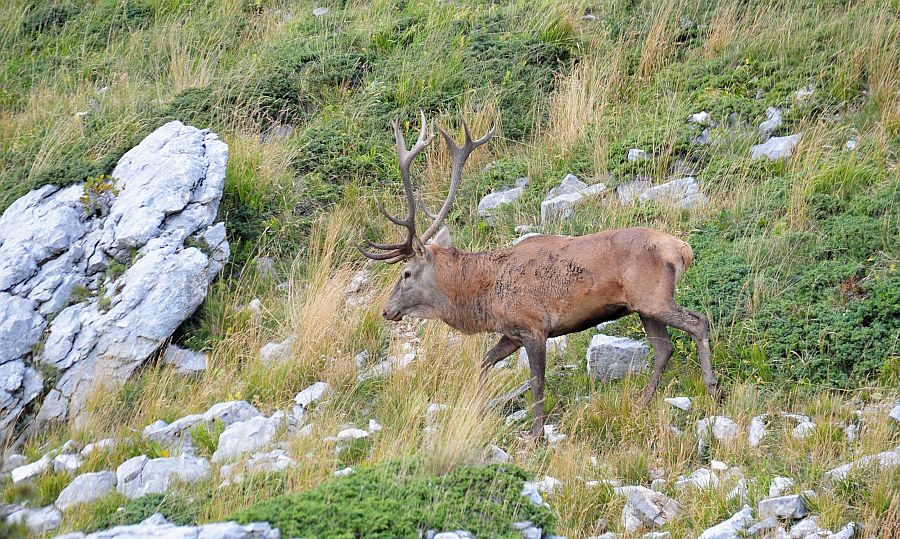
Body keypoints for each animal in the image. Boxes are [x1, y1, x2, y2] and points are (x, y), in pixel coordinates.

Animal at [358, 114, 716, 438]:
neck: (483, 296)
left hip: (654, 296)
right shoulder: (511, 332)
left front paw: (535, 433)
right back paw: (642, 404)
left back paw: (710, 387)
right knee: (664, 349)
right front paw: (477, 408)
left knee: (698, 322)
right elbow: (484, 363)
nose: (386, 310)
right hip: (643, 307)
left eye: (406, 273)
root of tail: (683, 250)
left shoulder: (534, 326)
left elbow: (537, 382)